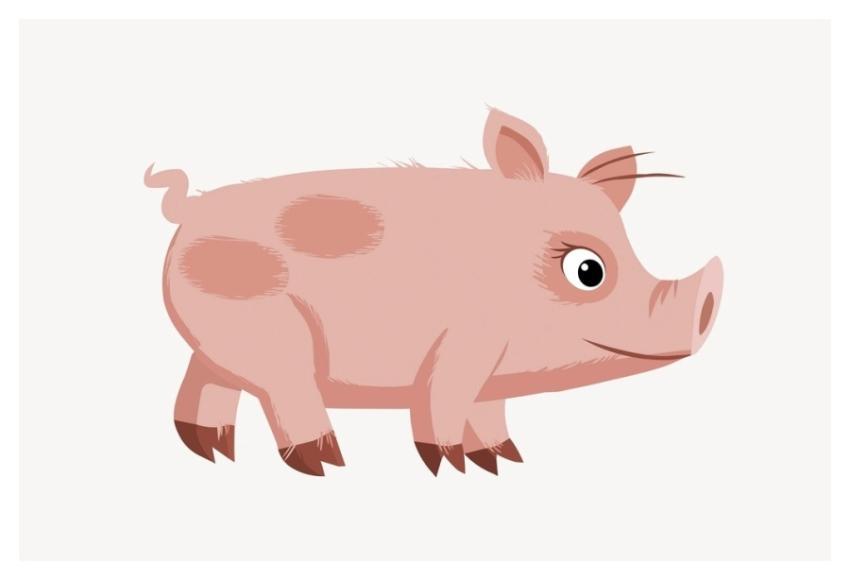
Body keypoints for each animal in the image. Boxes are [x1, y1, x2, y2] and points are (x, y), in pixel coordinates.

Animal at [144, 108, 722, 477]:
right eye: (588, 270)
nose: (707, 304)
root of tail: (191, 209)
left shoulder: (495, 375)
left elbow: (489, 411)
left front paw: (503, 460)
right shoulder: (464, 345)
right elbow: (441, 398)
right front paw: (453, 466)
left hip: (224, 335)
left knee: (209, 375)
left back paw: (212, 450)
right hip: (267, 327)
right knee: (283, 386)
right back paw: (327, 464)